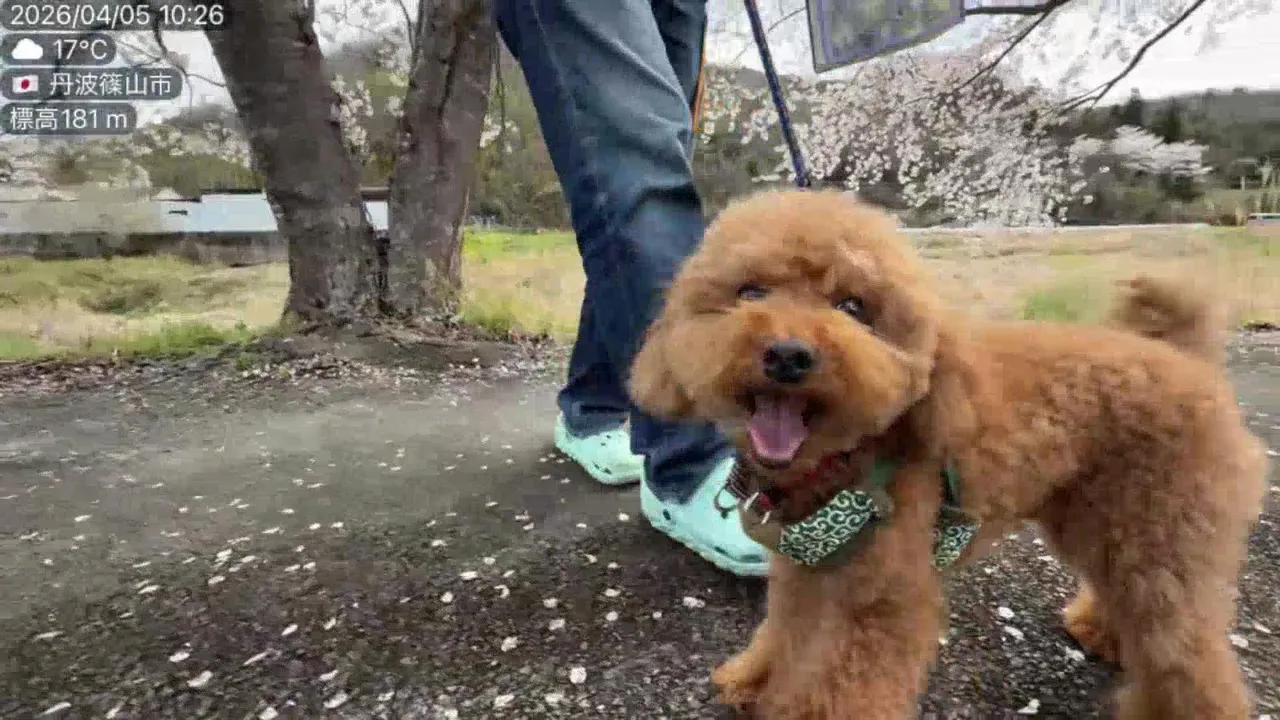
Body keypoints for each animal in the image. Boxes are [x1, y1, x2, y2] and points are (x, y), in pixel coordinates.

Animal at [628, 189, 1268, 720]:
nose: (788, 354)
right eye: (750, 292)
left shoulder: (883, 598)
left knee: (1182, 646)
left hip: (1166, 529)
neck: (843, 463)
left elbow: (843, 685)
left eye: (854, 306)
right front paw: (757, 682)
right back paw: (1102, 632)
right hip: (1103, 521)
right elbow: (785, 634)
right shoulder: (807, 571)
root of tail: (1192, 362)